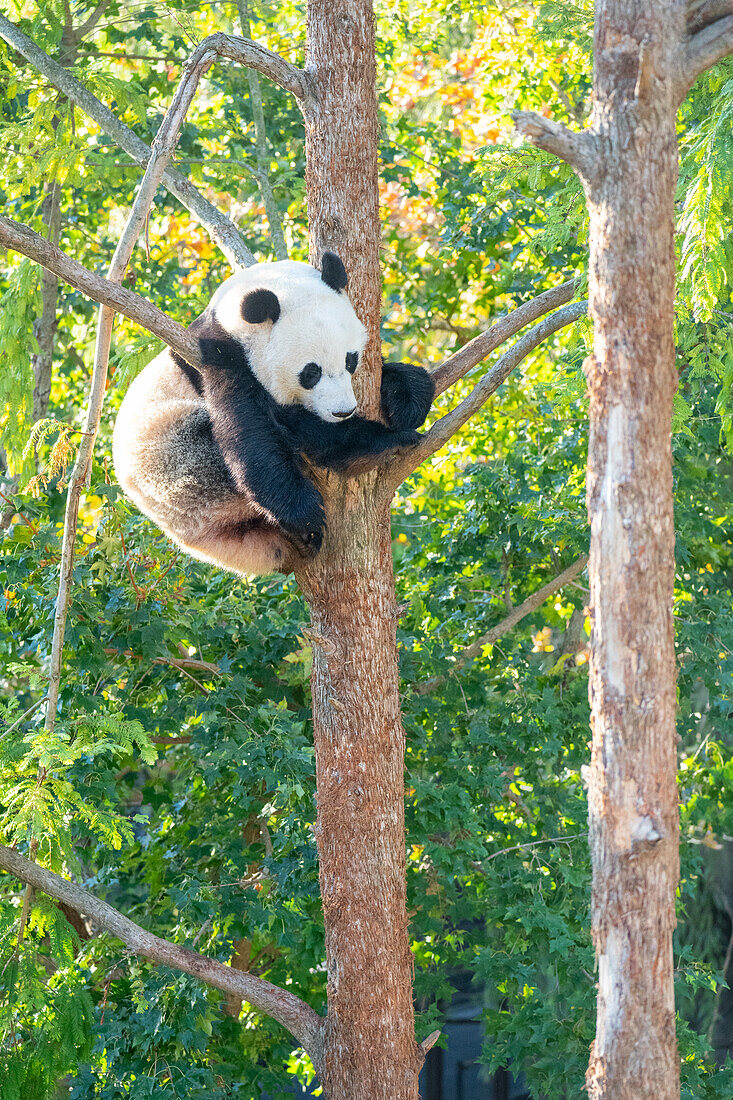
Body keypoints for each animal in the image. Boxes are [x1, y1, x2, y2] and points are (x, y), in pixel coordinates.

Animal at [112, 249, 433, 576]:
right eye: (311, 373)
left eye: (351, 360)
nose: (343, 412)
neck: (231, 319)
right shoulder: (216, 358)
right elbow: (250, 436)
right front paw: (306, 516)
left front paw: (408, 395)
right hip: (180, 471)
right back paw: (366, 448)